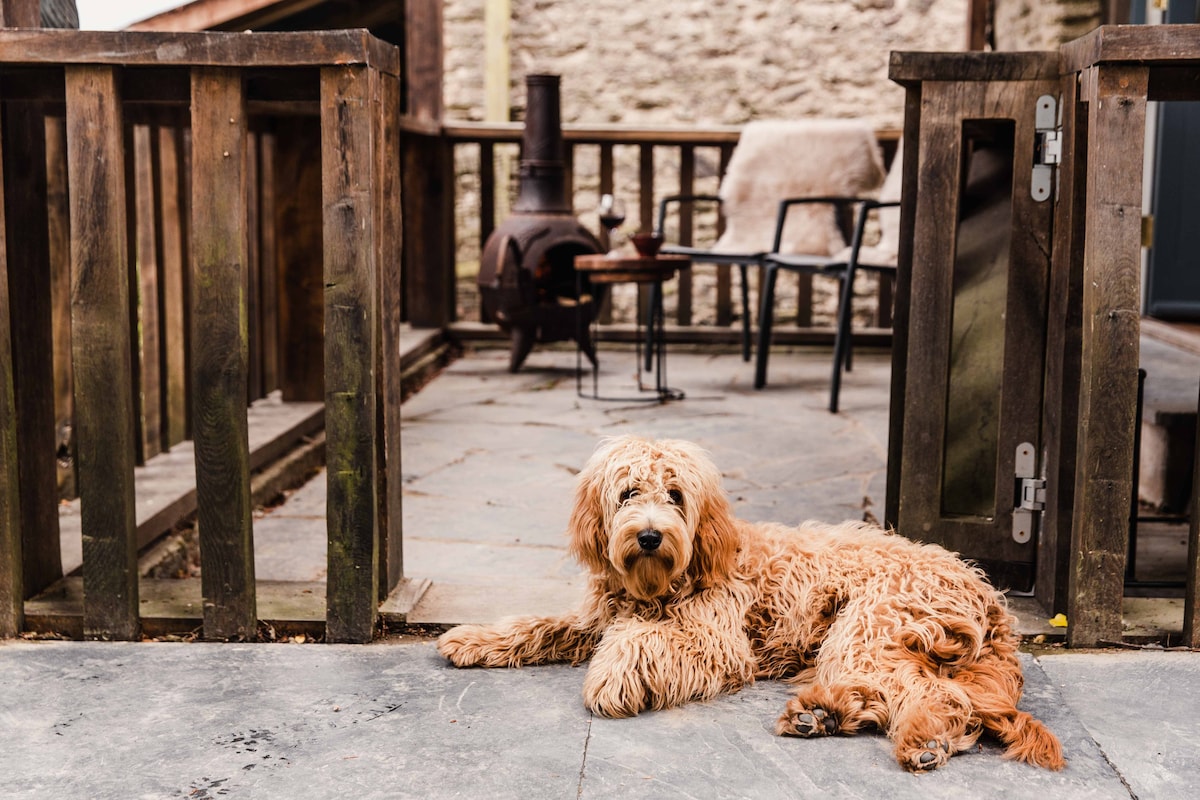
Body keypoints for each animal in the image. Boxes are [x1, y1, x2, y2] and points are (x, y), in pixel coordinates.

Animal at [436, 438, 1065, 767]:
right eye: (627, 492)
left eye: (675, 495)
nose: (649, 536)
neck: (670, 579)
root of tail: (988, 594)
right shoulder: (597, 618)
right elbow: (541, 625)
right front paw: (475, 638)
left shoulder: (714, 640)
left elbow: (643, 638)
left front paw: (613, 675)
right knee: (896, 694)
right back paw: (823, 714)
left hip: (869, 626)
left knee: (933, 694)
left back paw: (922, 736)